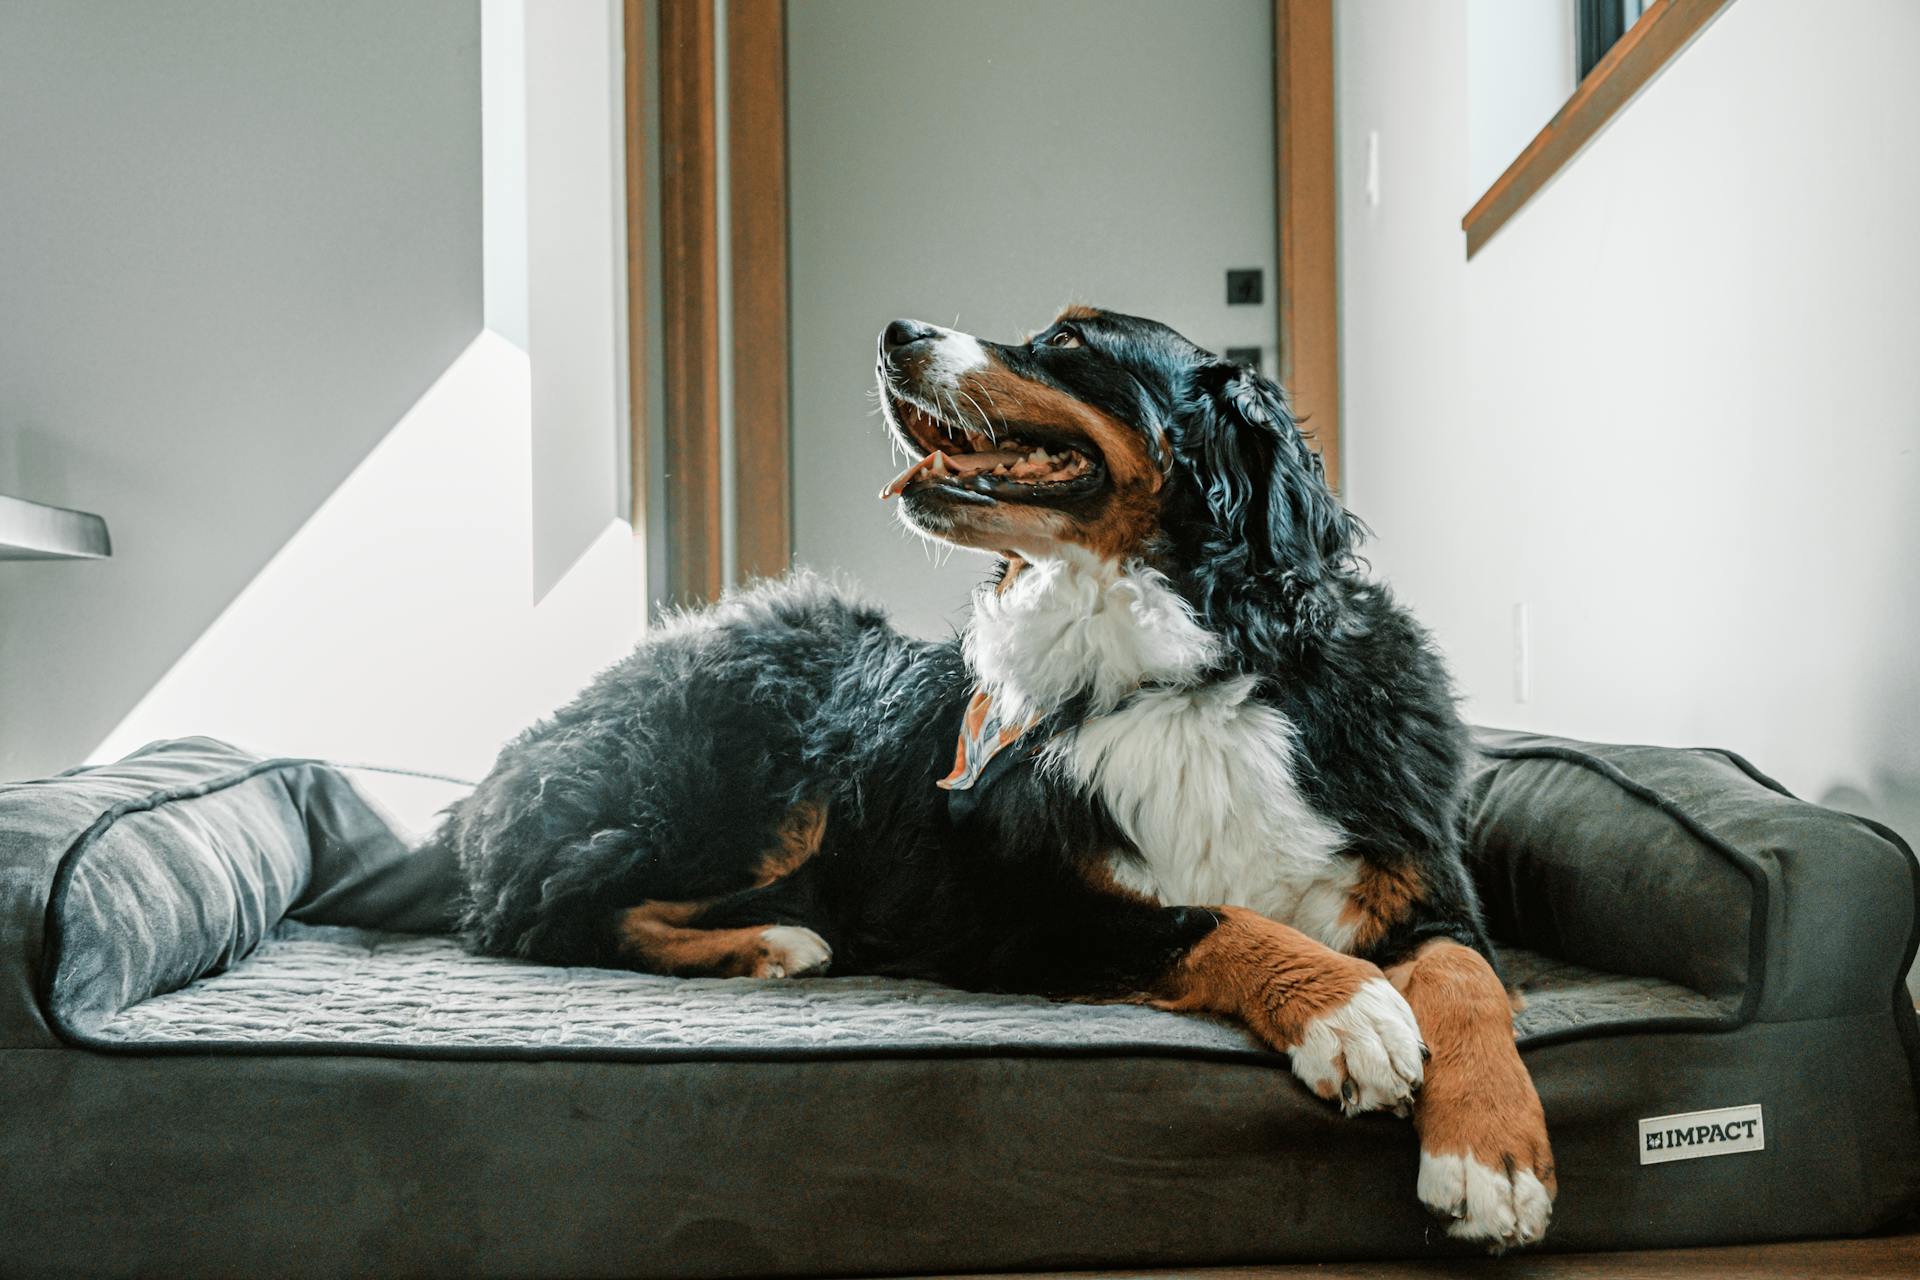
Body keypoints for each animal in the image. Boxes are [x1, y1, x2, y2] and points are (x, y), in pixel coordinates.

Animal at [449, 305, 1559, 1243]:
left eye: (1068, 341)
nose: (895, 332)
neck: (1178, 679)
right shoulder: (1007, 912)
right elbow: (1213, 919)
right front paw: (1352, 1010)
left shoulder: (1420, 883)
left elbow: (1462, 978)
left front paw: (1493, 1155)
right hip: (741, 790)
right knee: (543, 915)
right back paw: (772, 942)